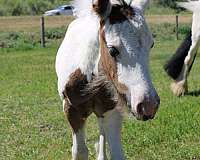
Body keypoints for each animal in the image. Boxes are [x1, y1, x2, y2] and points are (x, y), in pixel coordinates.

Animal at [55, 0, 160, 159]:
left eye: (151, 45)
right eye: (112, 50)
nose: (148, 105)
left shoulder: (111, 111)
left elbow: (116, 152)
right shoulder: (71, 110)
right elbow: (79, 151)